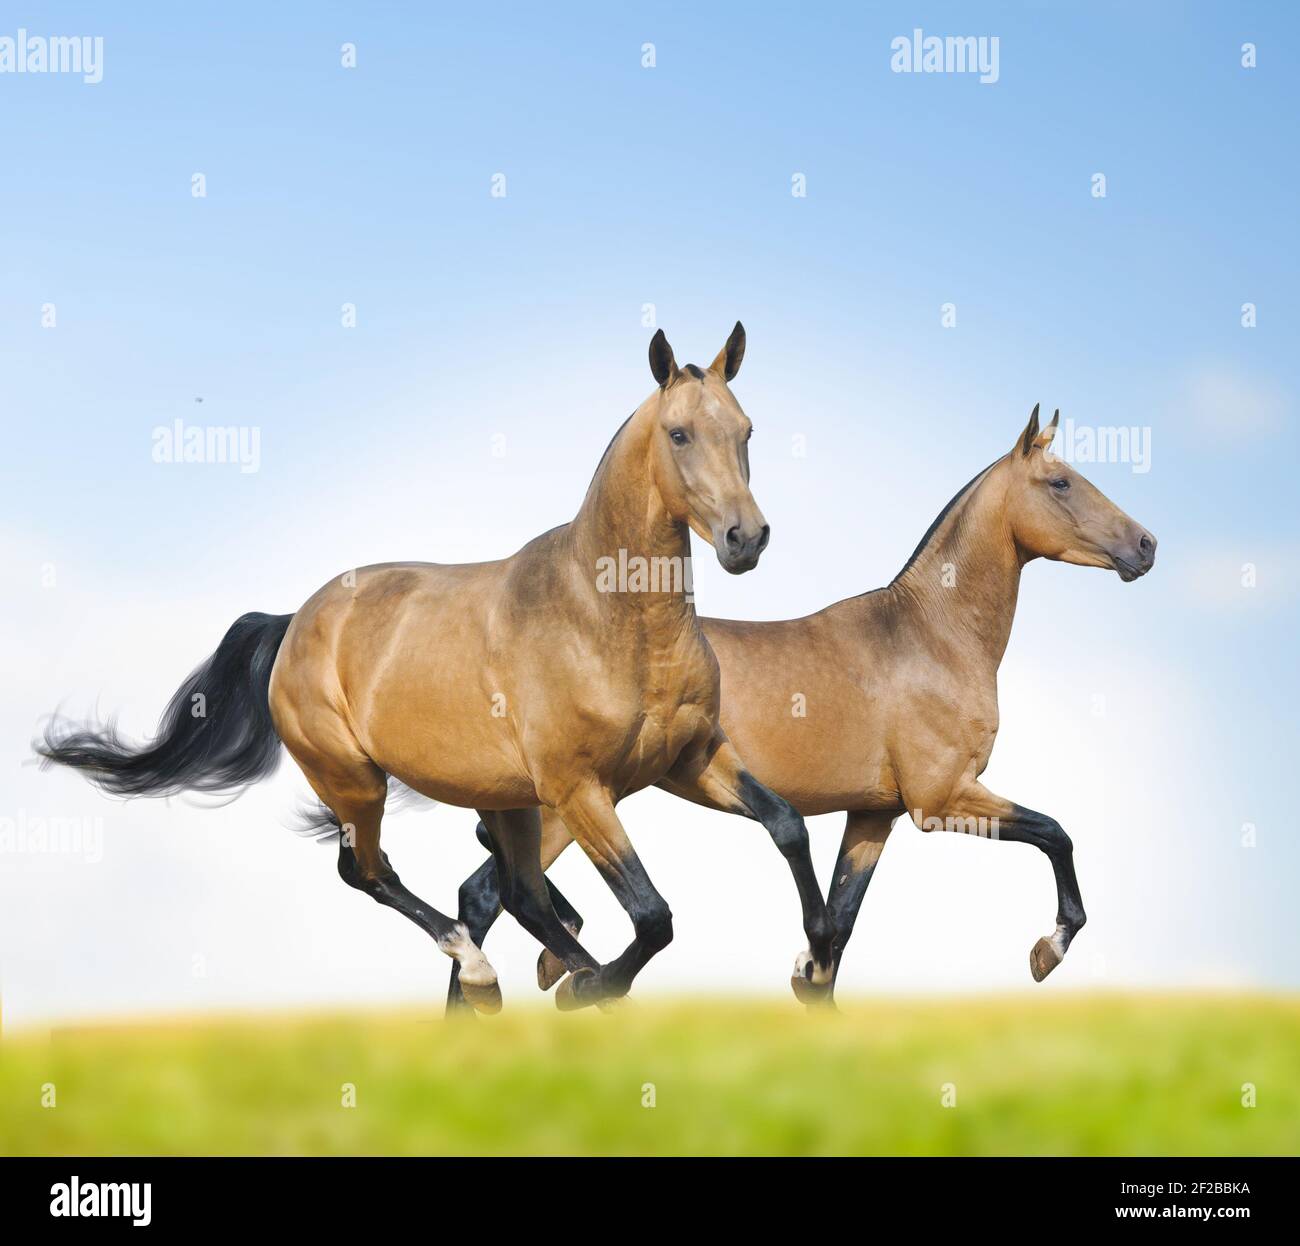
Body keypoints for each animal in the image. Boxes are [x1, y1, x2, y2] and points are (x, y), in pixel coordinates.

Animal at [37, 325, 836, 1013]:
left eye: (746, 431)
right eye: (678, 434)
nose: (745, 538)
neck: (610, 622)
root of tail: (295, 623)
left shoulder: (688, 759)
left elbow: (787, 825)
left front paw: (815, 959)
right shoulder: (581, 789)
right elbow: (653, 914)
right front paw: (598, 984)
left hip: (503, 797)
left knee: (517, 893)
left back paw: (556, 972)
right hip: (356, 781)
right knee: (371, 873)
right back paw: (489, 974)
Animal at [449, 405, 1157, 1008]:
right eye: (1061, 482)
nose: (1146, 545)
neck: (928, 636)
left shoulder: (875, 815)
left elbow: (839, 923)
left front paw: (810, 983)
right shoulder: (941, 797)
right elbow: (1056, 834)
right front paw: (1048, 950)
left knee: (485, 893)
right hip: (573, 805)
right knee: (486, 895)